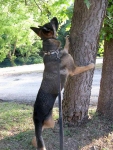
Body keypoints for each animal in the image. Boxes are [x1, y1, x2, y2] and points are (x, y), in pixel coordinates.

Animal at [30, 17, 94, 149]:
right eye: (52, 23)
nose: (55, 18)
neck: (51, 51)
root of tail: (36, 118)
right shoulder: (74, 70)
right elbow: (84, 67)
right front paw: (91, 65)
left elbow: (65, 47)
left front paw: (67, 39)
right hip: (51, 122)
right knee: (41, 134)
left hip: (44, 125)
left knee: (37, 137)